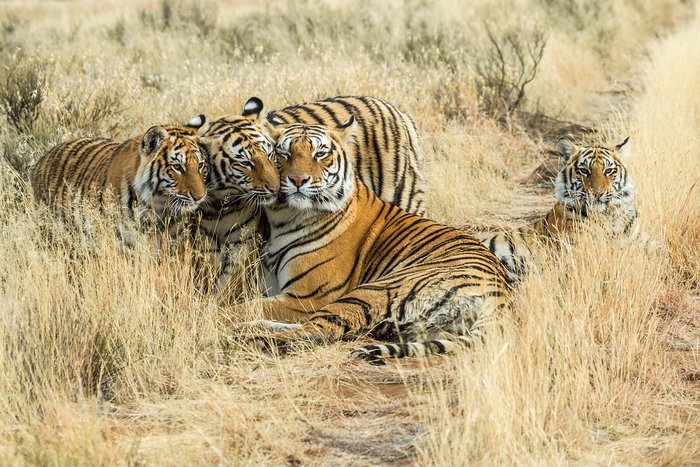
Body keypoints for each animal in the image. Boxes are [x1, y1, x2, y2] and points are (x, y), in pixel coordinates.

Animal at [232, 119, 512, 366]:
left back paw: (248, 338)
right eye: (284, 153)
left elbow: (243, 307)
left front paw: (222, 318)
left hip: (372, 290)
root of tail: (501, 293)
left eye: (320, 154)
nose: (298, 181)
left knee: (321, 329)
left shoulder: (306, 296)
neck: (284, 217)